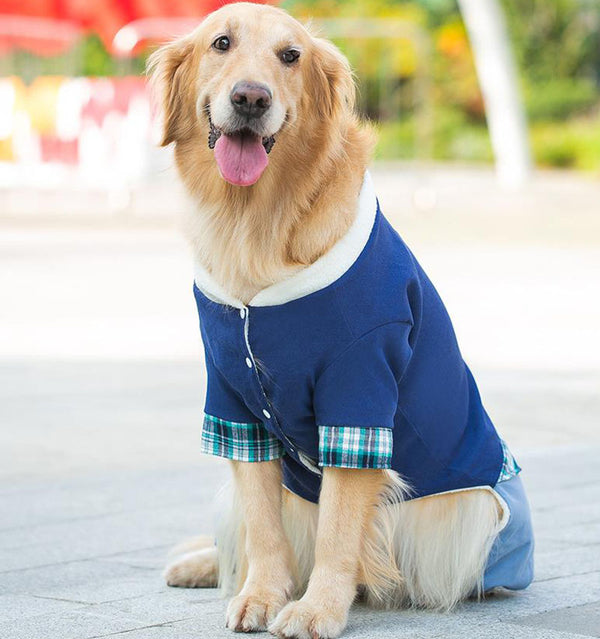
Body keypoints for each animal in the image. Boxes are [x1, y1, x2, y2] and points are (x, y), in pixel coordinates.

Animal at [148, 2, 532, 636]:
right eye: (221, 43)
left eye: (290, 55)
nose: (251, 98)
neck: (255, 223)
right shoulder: (234, 402)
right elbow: (263, 524)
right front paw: (262, 594)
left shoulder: (359, 388)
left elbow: (338, 527)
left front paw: (318, 608)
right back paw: (200, 563)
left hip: (463, 518)